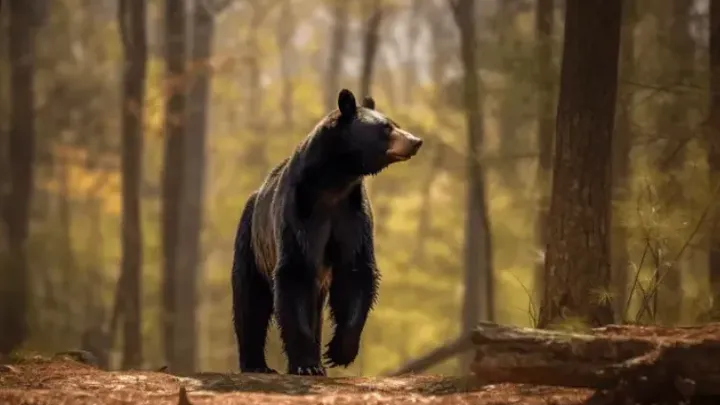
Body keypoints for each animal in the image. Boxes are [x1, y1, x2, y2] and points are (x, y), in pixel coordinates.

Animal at [231, 88, 423, 376]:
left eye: (394, 122)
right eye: (387, 127)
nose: (415, 140)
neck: (334, 183)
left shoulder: (352, 216)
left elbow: (356, 274)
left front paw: (337, 352)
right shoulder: (300, 214)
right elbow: (294, 275)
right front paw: (307, 363)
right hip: (251, 243)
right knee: (250, 300)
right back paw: (256, 364)